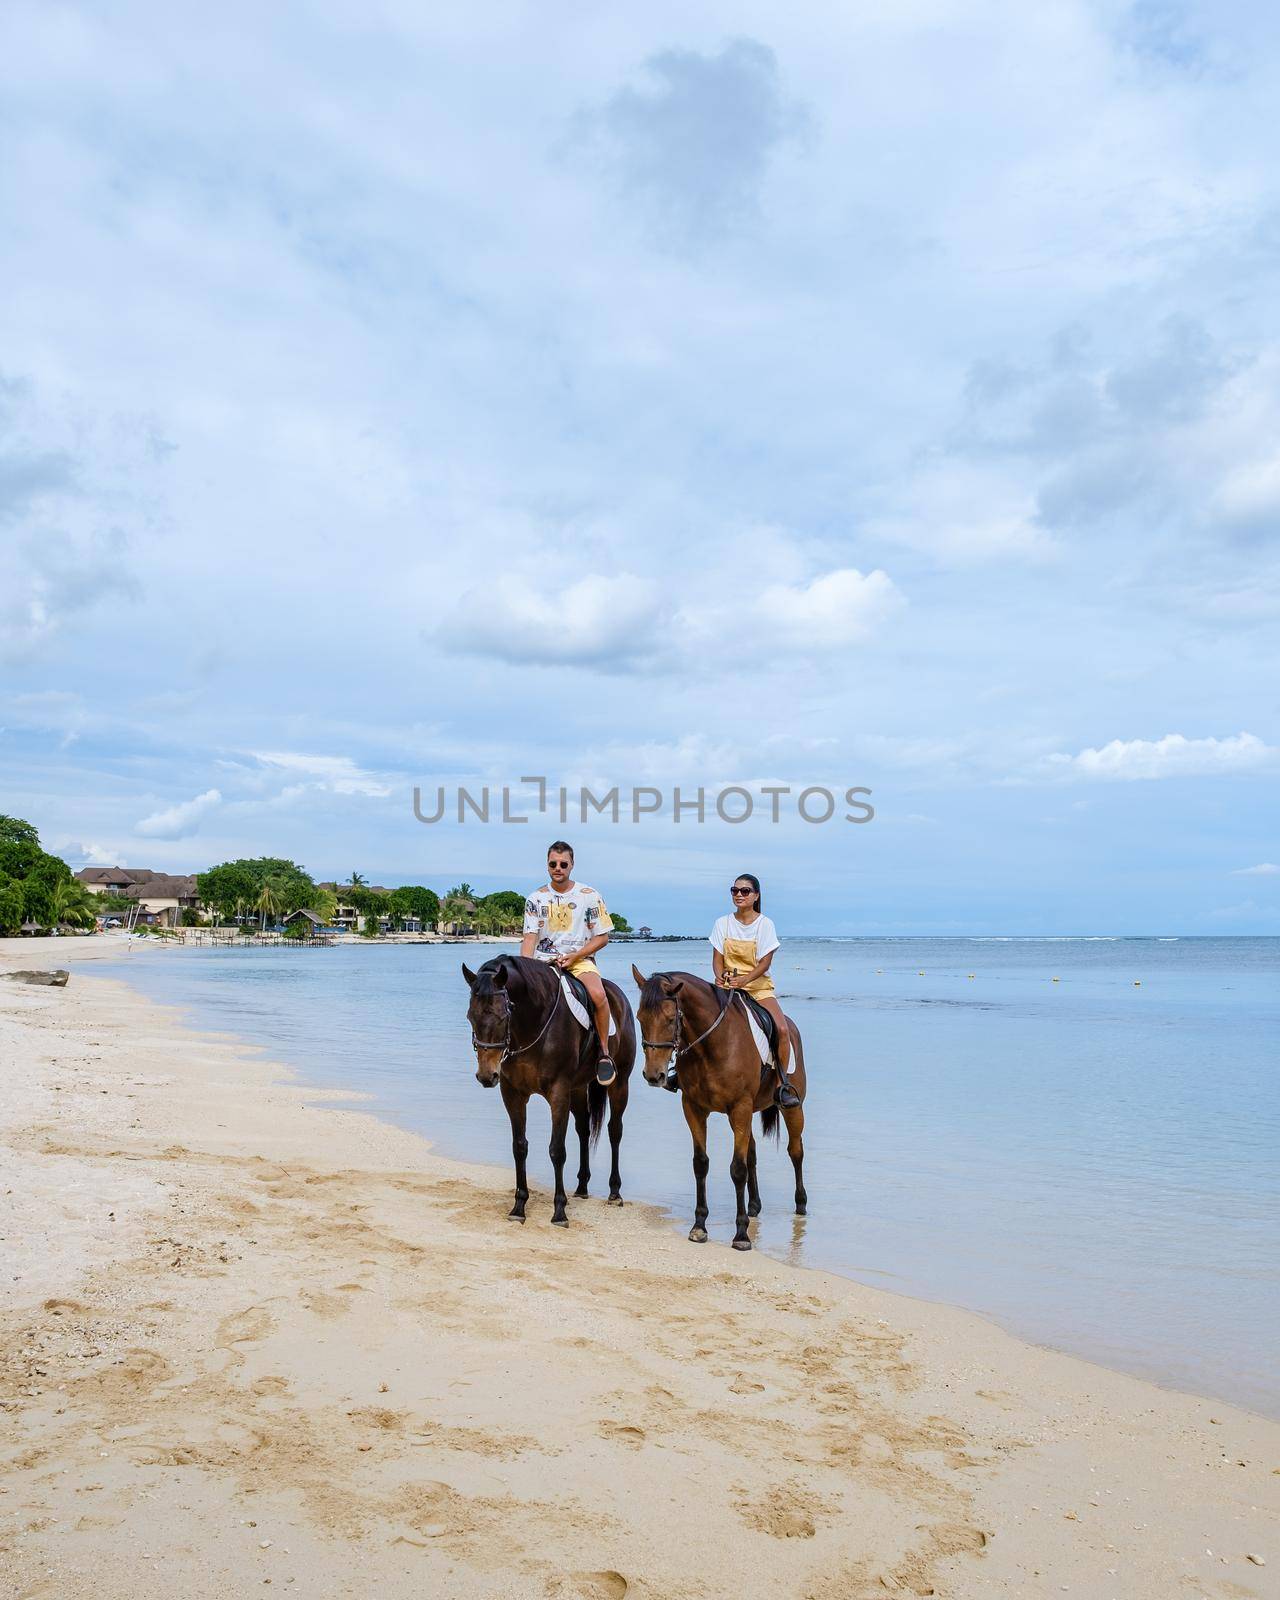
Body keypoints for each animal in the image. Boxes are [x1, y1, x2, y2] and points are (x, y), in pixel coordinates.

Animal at [464, 953, 633, 1228]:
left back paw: (615, 1192)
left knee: (614, 1130)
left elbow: (557, 1150)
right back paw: (582, 1186)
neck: (532, 1025)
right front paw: (519, 1206)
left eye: (502, 1015)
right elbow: (519, 1147)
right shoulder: (512, 1094)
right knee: (583, 1129)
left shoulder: (558, 1092)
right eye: (470, 1016)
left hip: (619, 1084)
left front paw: (559, 1211)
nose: (486, 1076)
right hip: (578, 1088)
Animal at [633, 960, 806, 1248]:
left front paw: (741, 1234)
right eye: (639, 1019)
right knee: (752, 1153)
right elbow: (701, 1163)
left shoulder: (739, 1108)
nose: (654, 1075)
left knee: (795, 1152)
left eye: (670, 1019)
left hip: (792, 1107)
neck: (713, 1045)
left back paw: (801, 1205)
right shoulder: (693, 1108)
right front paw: (699, 1226)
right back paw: (754, 1206)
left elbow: (737, 1169)